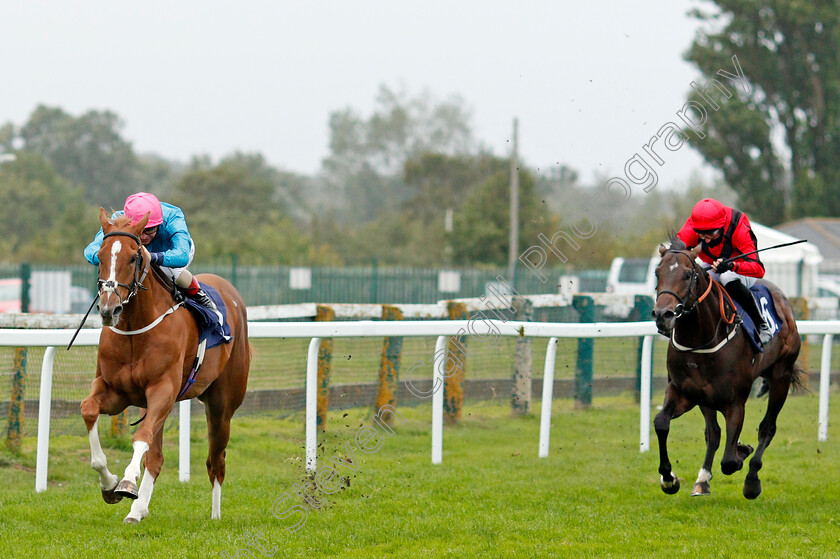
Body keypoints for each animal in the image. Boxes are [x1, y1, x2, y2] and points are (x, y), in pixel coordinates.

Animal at [83, 208, 251, 524]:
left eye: (134, 257)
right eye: (99, 255)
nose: (109, 309)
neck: (136, 331)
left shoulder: (163, 389)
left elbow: (141, 437)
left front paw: (126, 482)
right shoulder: (115, 391)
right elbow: (89, 410)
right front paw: (109, 484)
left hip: (222, 404)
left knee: (216, 460)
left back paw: (215, 515)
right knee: (157, 457)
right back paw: (138, 510)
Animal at [648, 235, 800, 498]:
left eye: (687, 275)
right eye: (658, 273)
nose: (662, 315)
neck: (700, 340)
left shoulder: (735, 402)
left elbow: (729, 461)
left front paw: (742, 453)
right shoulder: (683, 392)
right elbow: (661, 423)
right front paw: (669, 479)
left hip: (781, 375)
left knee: (767, 428)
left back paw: (752, 479)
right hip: (705, 398)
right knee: (714, 434)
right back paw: (702, 479)